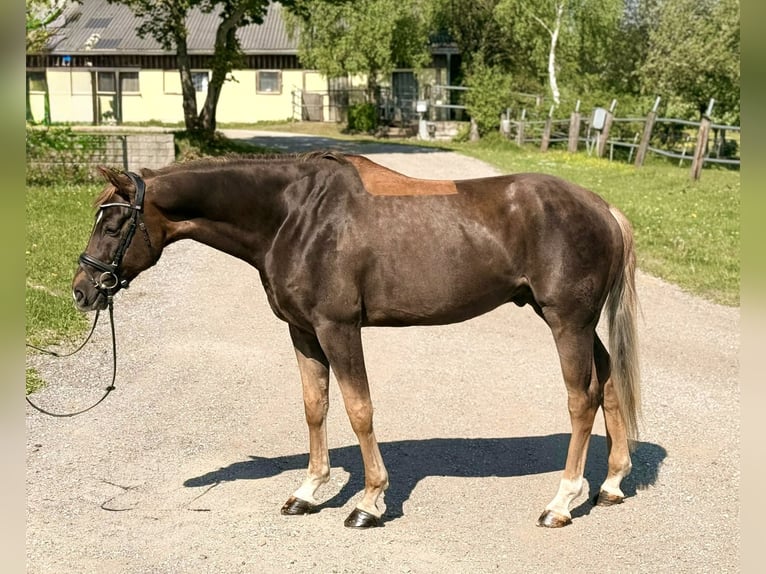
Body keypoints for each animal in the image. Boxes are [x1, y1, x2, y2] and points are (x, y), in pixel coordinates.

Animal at [72, 151, 641, 529]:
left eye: (115, 223)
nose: (83, 290)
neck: (293, 216)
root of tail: (604, 208)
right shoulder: (303, 330)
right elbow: (315, 406)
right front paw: (308, 491)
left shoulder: (337, 327)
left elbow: (359, 408)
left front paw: (368, 502)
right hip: (575, 323)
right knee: (610, 384)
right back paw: (611, 485)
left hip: (566, 322)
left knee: (582, 398)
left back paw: (561, 503)